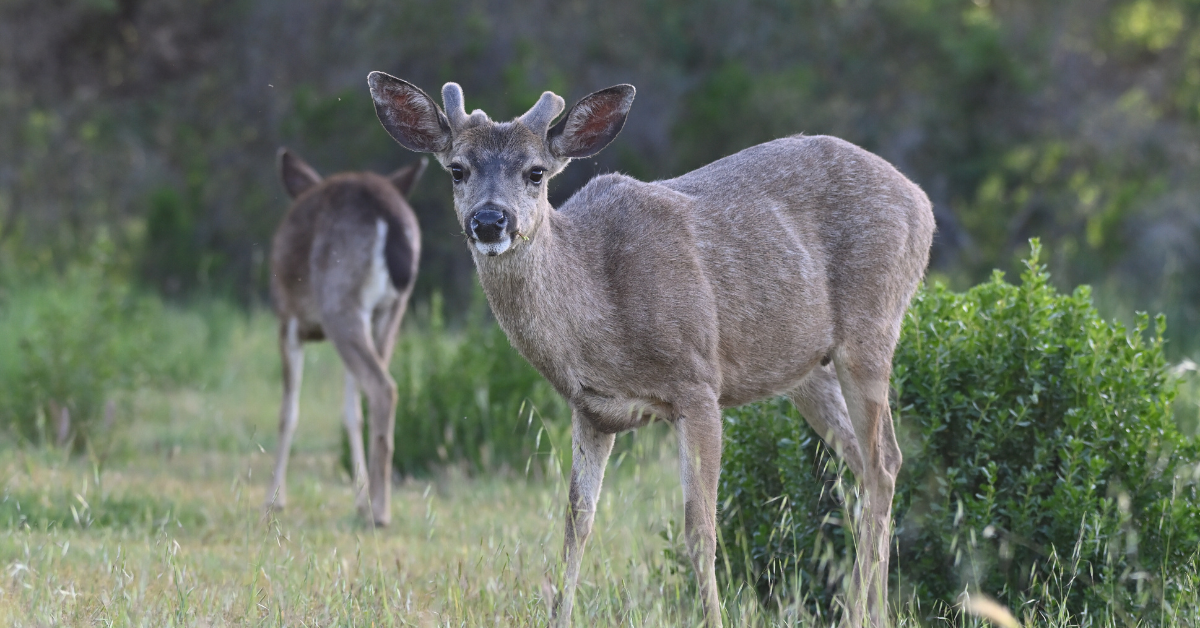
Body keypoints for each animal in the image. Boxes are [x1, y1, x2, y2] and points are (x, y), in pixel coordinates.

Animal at [265, 147, 424, 525]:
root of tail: (388, 216)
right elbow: (350, 413)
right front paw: (358, 497)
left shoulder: (288, 321)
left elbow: (288, 412)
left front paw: (274, 498)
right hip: (389, 313)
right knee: (373, 392)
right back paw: (375, 503)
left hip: (340, 304)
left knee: (383, 388)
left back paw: (381, 510)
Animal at [364, 75, 936, 628]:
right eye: (457, 169)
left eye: (535, 173)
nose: (489, 221)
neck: (602, 315)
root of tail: (921, 201)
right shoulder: (591, 410)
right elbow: (576, 523)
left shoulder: (698, 382)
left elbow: (699, 528)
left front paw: (712, 619)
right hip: (807, 371)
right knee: (864, 463)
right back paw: (867, 609)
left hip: (871, 327)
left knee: (885, 460)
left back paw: (866, 612)